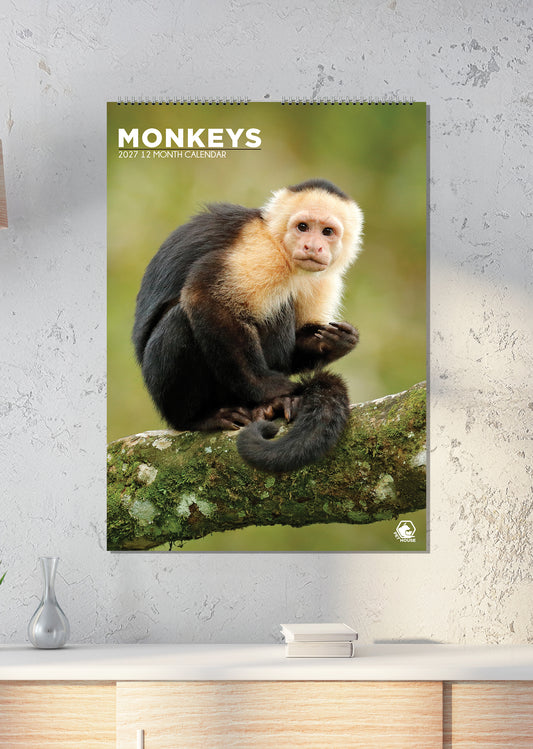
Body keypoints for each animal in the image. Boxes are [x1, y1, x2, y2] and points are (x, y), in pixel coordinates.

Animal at [132, 178, 363, 473]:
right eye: (303, 227)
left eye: (327, 232)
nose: (313, 247)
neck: (281, 247)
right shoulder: (262, 251)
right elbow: (207, 297)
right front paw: (274, 389)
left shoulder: (324, 279)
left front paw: (334, 343)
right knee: (182, 320)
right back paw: (201, 417)